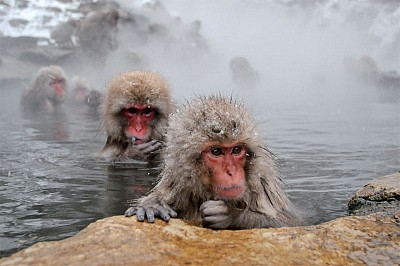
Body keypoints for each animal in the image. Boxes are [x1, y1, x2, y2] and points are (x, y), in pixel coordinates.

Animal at [126, 95, 298, 229]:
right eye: (216, 151)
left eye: (236, 150)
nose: (231, 171)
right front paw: (153, 206)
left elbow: (289, 222)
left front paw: (230, 215)